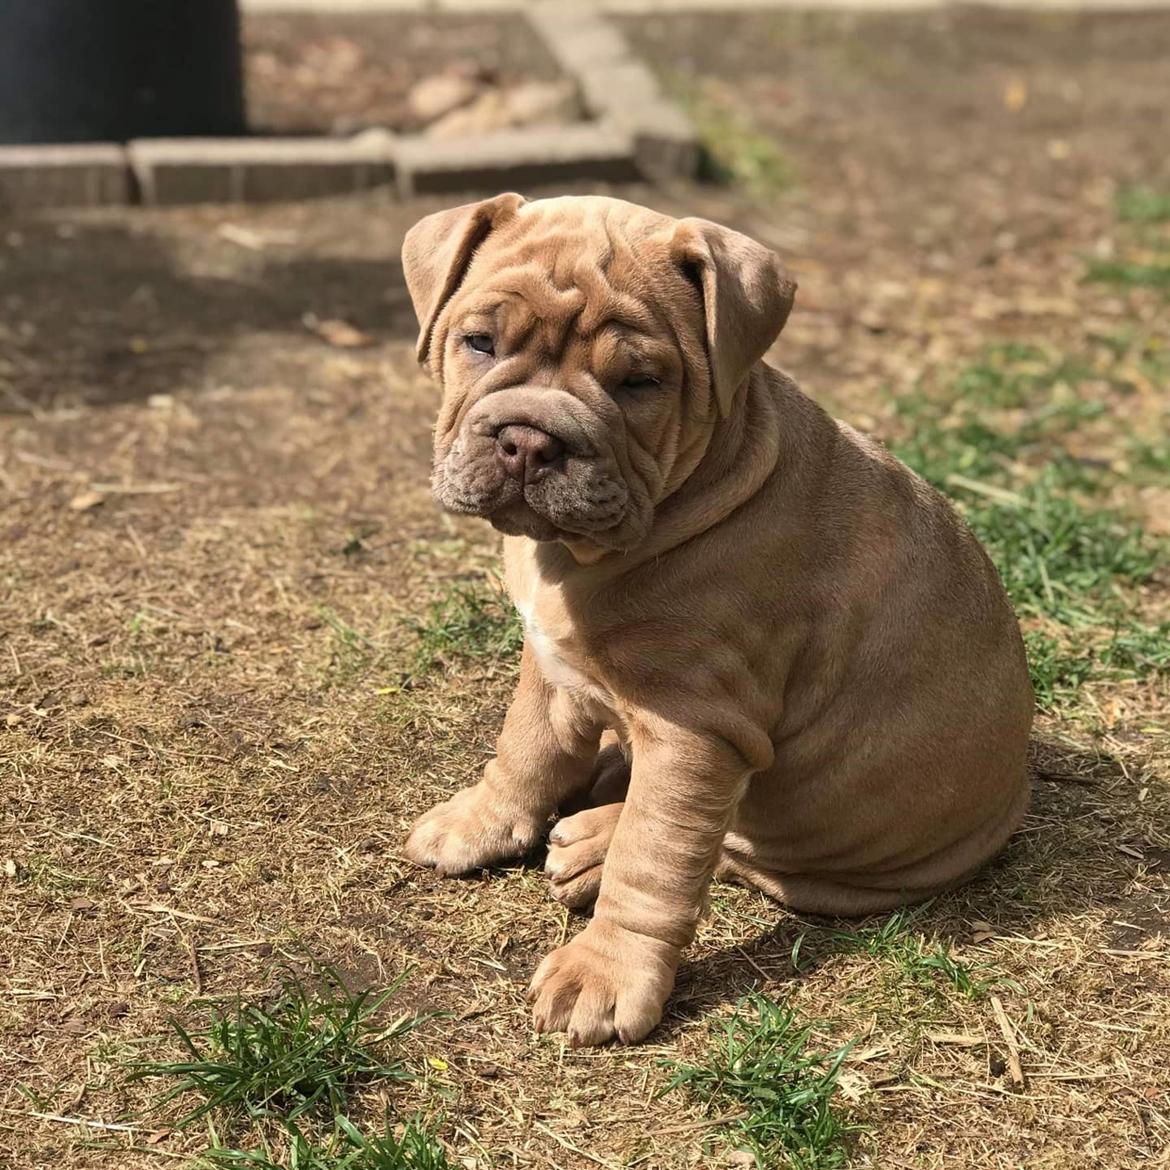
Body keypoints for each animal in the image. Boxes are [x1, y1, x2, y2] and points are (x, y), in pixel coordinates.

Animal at [400, 194, 1034, 1053]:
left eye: (639, 383)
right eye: (479, 343)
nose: (529, 440)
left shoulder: (697, 729)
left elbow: (657, 860)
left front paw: (605, 974)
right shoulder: (549, 660)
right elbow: (524, 746)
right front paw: (479, 823)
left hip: (822, 850)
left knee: (727, 849)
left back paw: (594, 848)